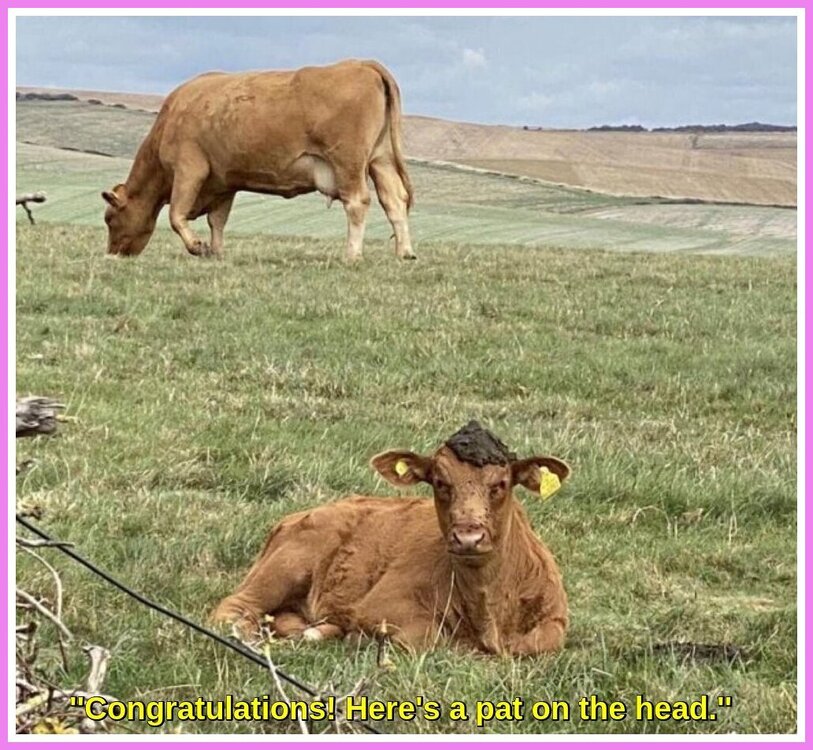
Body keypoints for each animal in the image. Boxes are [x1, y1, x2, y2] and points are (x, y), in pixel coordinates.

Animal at [101, 59, 415, 262]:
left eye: (109, 218)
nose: (113, 254)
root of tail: (361, 64)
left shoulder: (189, 169)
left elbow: (176, 215)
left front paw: (198, 247)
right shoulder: (223, 182)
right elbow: (217, 220)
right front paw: (216, 252)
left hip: (347, 162)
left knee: (358, 203)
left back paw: (352, 255)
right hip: (381, 159)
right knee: (394, 200)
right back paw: (405, 252)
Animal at [212, 421, 571, 656]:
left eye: (501, 484)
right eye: (440, 482)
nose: (468, 537)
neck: (489, 610)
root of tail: (292, 518)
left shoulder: (555, 620)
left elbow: (538, 642)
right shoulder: (381, 606)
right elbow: (430, 637)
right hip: (285, 567)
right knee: (232, 608)